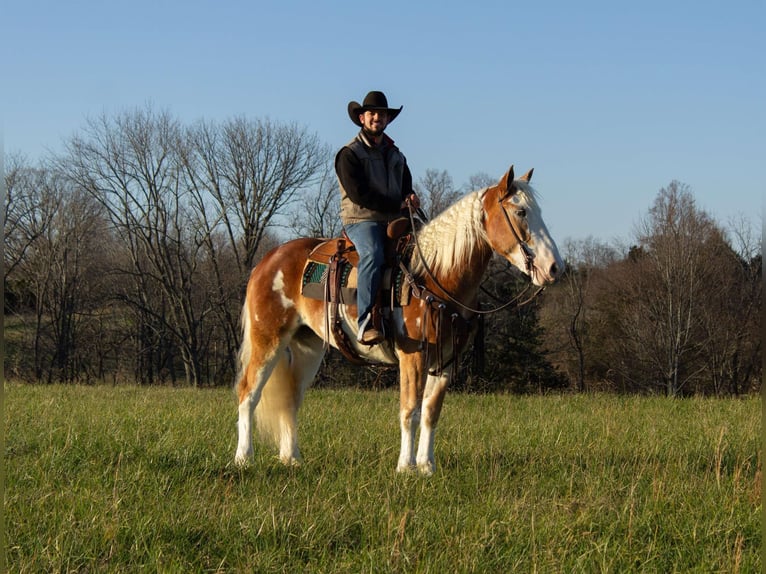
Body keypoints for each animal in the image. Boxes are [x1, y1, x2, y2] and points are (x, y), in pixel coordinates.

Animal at [233, 165, 564, 475]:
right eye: (521, 211)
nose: (554, 268)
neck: (434, 275)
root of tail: (268, 259)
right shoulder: (413, 355)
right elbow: (410, 411)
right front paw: (406, 467)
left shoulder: (444, 360)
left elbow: (430, 412)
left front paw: (427, 466)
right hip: (268, 339)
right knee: (249, 392)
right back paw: (244, 458)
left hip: (308, 347)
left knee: (290, 399)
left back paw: (292, 459)